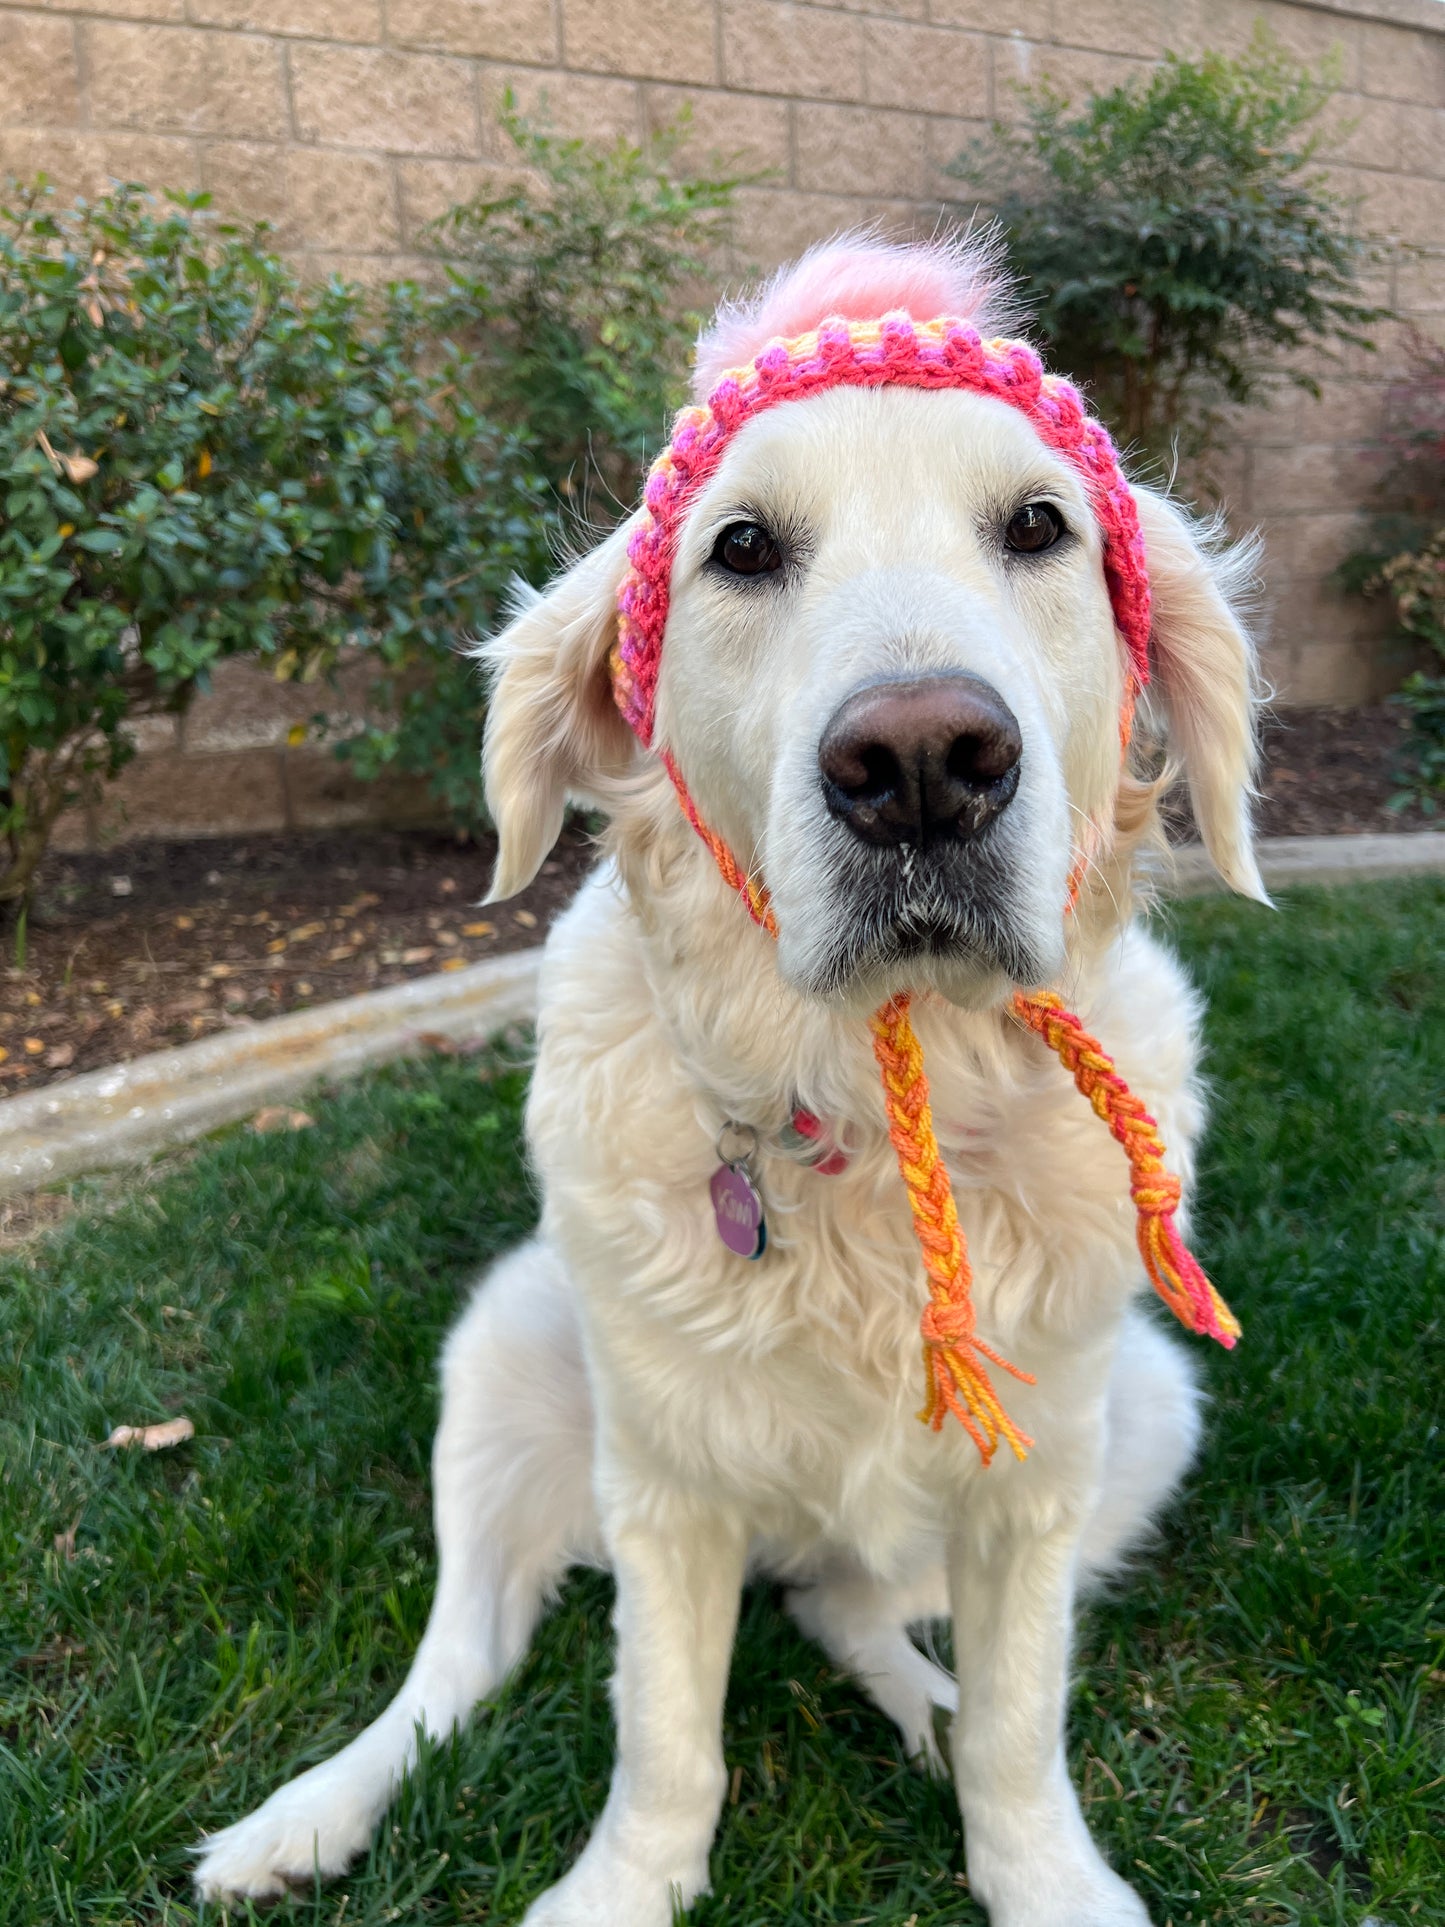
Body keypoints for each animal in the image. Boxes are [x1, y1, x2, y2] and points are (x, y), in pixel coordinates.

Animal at [195, 240, 1263, 1927]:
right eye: (742, 547)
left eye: (1038, 525)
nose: (921, 762)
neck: (877, 1104)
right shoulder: (665, 1486)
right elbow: (664, 1733)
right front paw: (623, 1885)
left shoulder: (1036, 1483)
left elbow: (1022, 1724)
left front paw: (1039, 1868)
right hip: (505, 1352)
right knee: (455, 1662)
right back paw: (297, 1821)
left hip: (1147, 1404)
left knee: (848, 1604)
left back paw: (919, 1697)